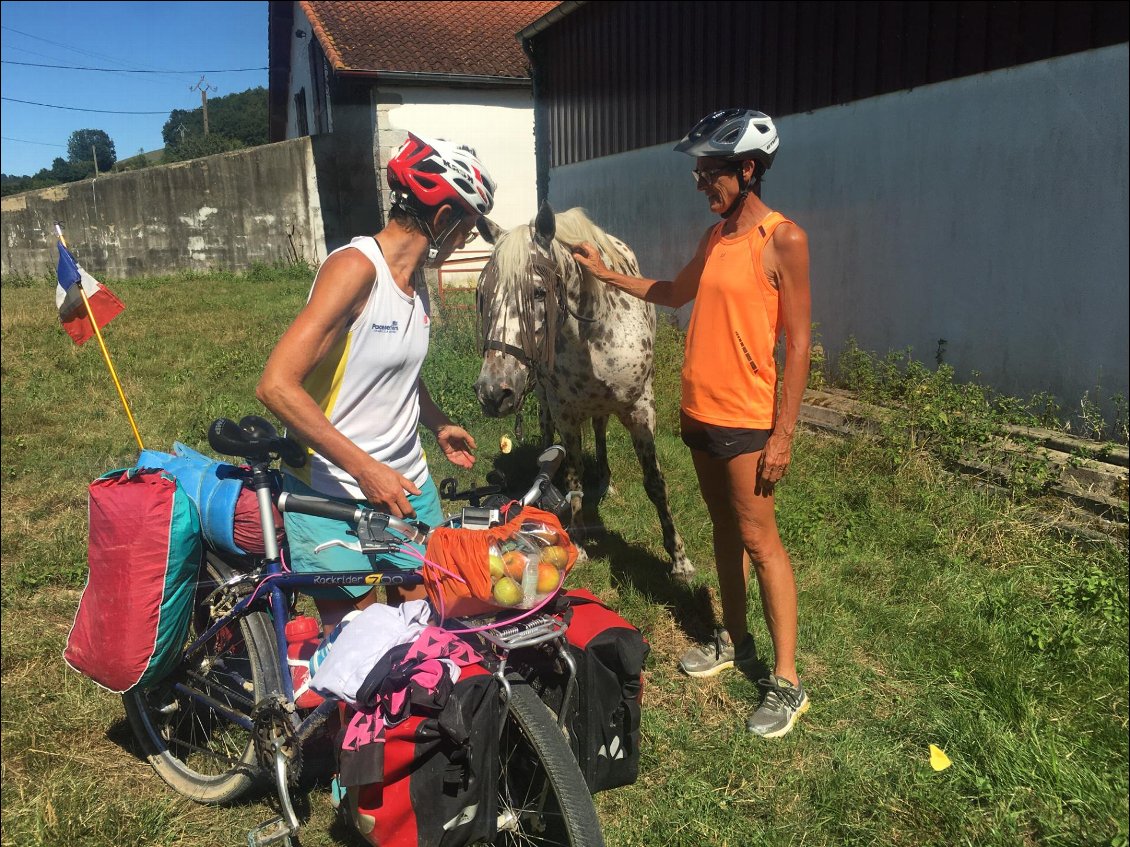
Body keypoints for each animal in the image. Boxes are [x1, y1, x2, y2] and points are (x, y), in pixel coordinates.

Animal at [472, 202, 691, 582]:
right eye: (483, 294)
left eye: (538, 292)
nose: (492, 392)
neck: (592, 336)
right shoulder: (566, 414)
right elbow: (573, 477)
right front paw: (579, 543)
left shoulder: (641, 410)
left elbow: (655, 483)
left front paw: (678, 560)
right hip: (544, 400)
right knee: (548, 437)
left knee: (601, 431)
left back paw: (606, 481)